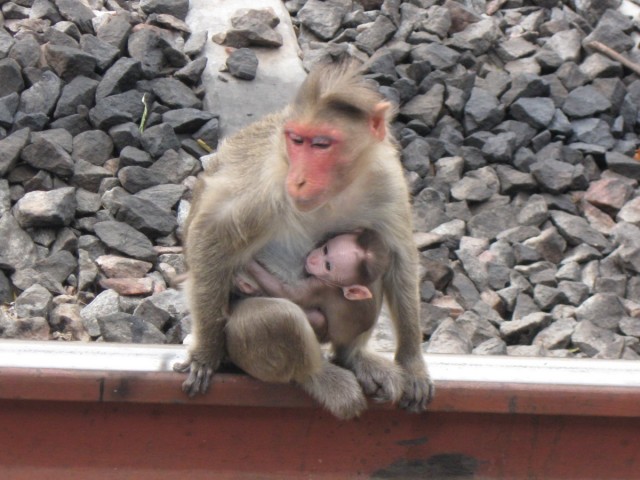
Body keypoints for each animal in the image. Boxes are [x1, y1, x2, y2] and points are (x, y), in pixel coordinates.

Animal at [235, 229, 390, 345]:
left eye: (328, 266)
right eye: (326, 250)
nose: (313, 260)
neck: (338, 287)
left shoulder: (320, 286)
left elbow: (288, 293)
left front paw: (248, 262)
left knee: (317, 318)